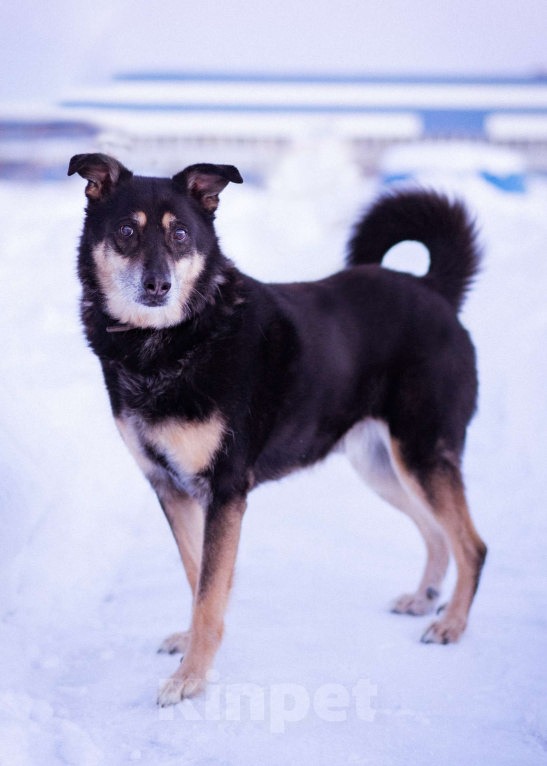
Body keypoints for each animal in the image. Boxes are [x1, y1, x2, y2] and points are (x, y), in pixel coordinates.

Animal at [67, 154, 488, 708]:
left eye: (179, 234)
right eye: (125, 232)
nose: (158, 285)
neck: (172, 341)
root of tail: (433, 290)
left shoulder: (226, 490)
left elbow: (208, 590)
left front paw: (191, 676)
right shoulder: (170, 487)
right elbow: (198, 577)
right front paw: (192, 647)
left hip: (421, 451)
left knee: (473, 546)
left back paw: (453, 624)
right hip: (382, 465)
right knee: (437, 532)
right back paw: (425, 598)